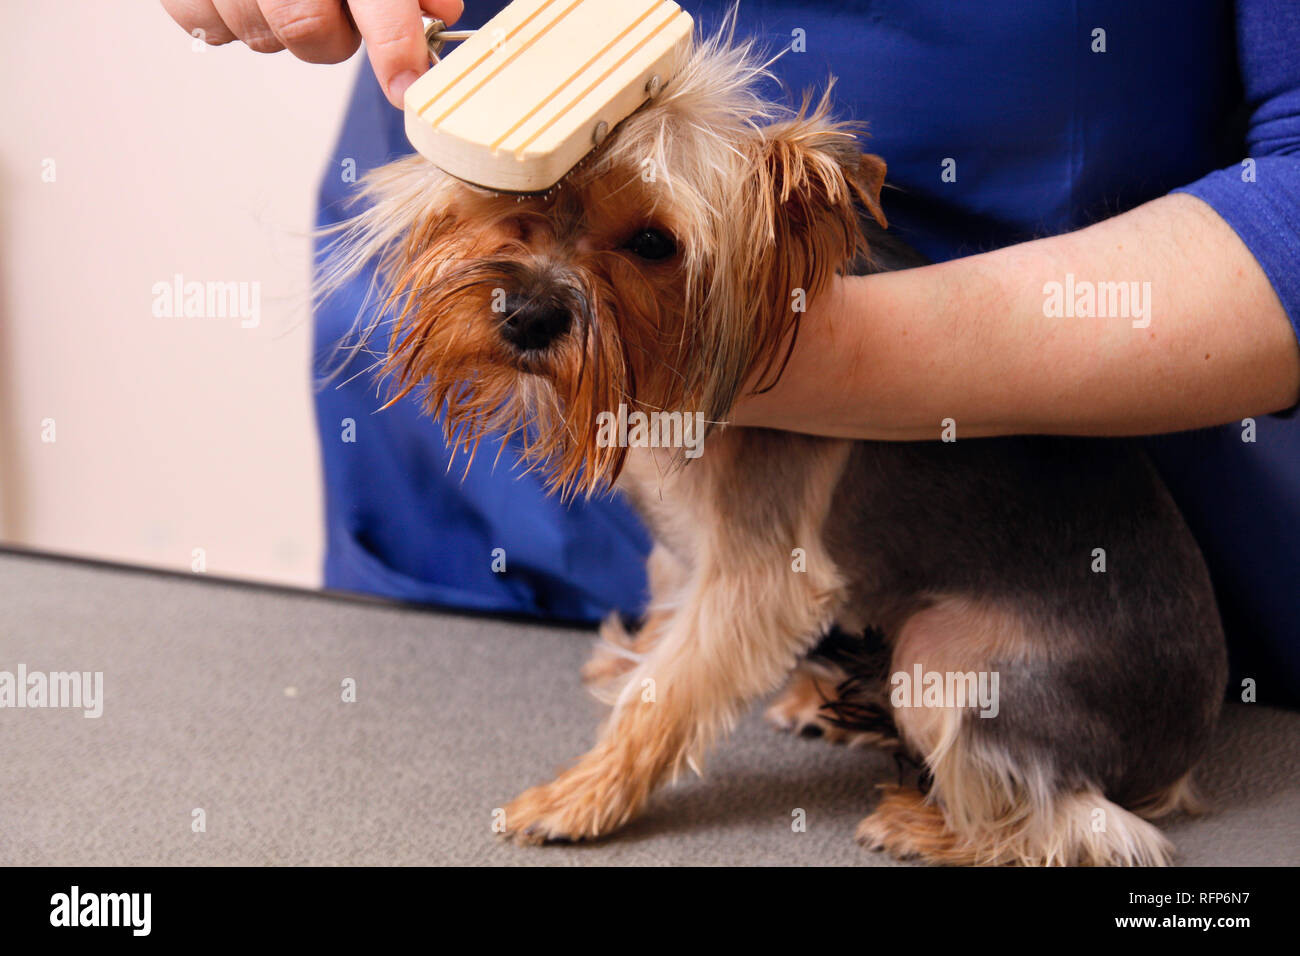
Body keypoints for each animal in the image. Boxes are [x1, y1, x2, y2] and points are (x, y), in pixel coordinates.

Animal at [319, 22, 1222, 863]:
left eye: (655, 243)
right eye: (517, 205)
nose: (530, 316)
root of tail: (1180, 754)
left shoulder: (757, 570)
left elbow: (672, 689)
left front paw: (583, 793)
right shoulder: (682, 546)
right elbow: (665, 606)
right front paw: (631, 657)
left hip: (957, 663)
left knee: (1085, 822)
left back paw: (923, 824)